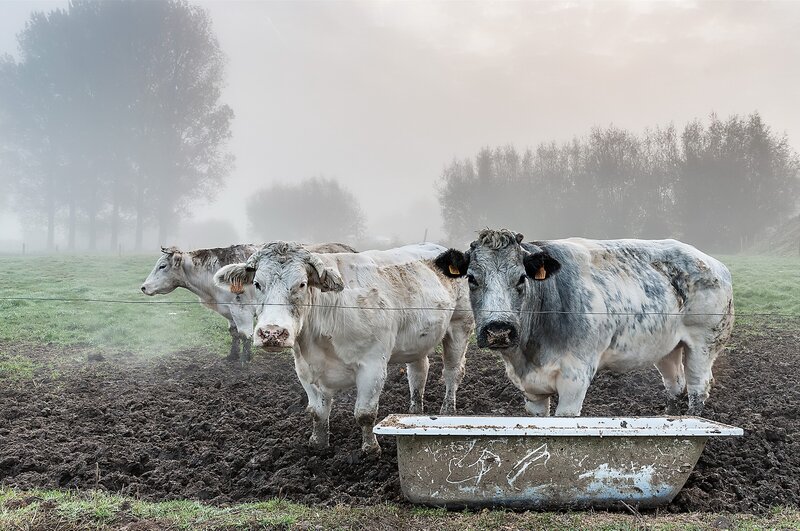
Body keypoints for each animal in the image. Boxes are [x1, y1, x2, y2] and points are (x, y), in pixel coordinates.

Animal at [141, 242, 355, 363]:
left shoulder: (241, 309)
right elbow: (234, 333)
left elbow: (245, 334)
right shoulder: (230, 310)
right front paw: (232, 356)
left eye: (162, 266)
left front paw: (245, 360)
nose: (143, 287)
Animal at [214, 241, 474, 453]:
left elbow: (365, 414)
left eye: (302, 284)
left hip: (460, 326)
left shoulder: (373, 366)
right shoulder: (305, 369)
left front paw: (370, 450)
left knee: (452, 373)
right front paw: (318, 444)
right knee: (418, 372)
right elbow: (317, 412)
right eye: (257, 284)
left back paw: (447, 412)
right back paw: (414, 412)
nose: (272, 333)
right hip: (417, 341)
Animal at [434, 229, 734, 417]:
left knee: (697, 388)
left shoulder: (575, 379)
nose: (499, 330)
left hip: (704, 345)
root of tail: (713, 263)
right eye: (472, 278)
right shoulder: (532, 391)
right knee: (675, 385)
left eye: (521, 278)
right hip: (667, 348)